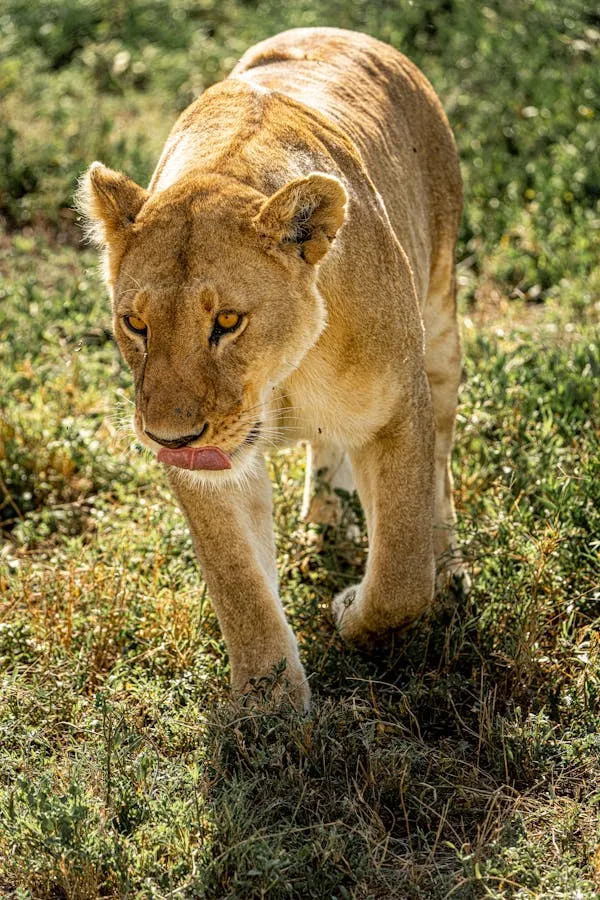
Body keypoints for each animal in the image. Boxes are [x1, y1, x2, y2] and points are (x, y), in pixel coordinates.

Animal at [79, 27, 465, 711]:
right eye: (136, 325)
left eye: (228, 322)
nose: (172, 438)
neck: (280, 378)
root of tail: (347, 32)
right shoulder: (208, 470)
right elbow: (239, 584)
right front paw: (271, 709)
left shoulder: (398, 411)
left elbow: (400, 574)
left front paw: (350, 612)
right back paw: (321, 520)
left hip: (442, 320)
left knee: (442, 459)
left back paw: (447, 564)